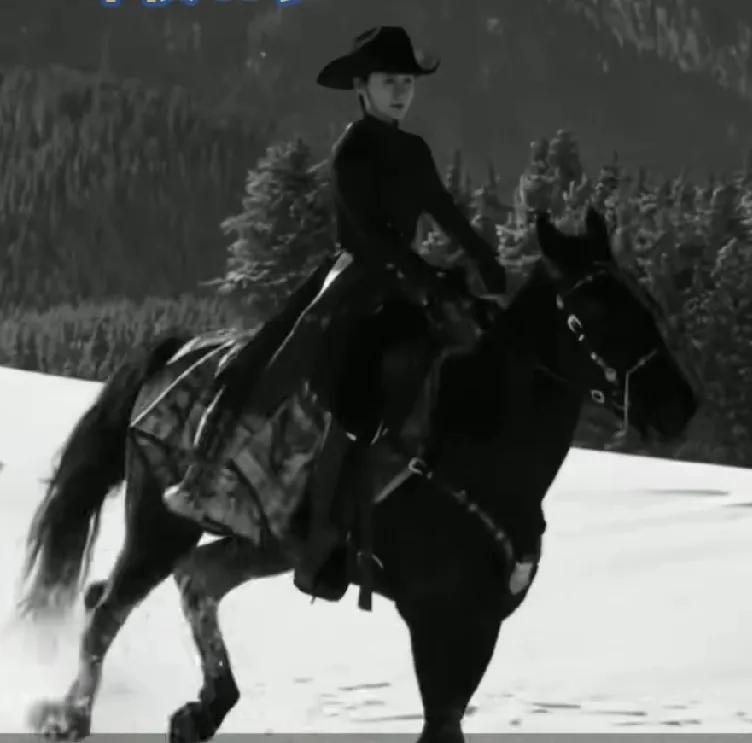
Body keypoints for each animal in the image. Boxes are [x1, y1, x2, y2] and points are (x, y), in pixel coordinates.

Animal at [16, 208, 699, 743]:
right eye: (592, 310)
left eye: (642, 301)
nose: (679, 406)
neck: (476, 448)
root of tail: (177, 352)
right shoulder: (437, 617)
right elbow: (439, 726)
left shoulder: (479, 625)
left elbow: (447, 723)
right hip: (160, 517)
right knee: (110, 606)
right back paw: (70, 718)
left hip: (266, 542)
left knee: (193, 581)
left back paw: (202, 710)